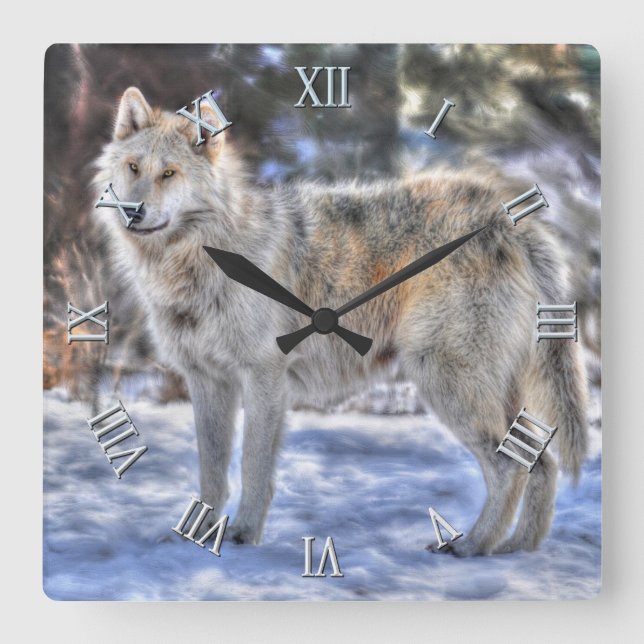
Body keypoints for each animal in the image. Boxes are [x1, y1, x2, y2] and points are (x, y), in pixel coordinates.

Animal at [94, 87, 588, 556]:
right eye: (135, 168)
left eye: (169, 173)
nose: (133, 211)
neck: (200, 258)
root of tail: (509, 220)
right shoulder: (207, 380)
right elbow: (212, 471)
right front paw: (197, 537)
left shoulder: (264, 378)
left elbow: (253, 468)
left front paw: (242, 537)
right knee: (541, 463)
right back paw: (517, 551)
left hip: (445, 382)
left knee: (511, 467)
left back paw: (471, 547)